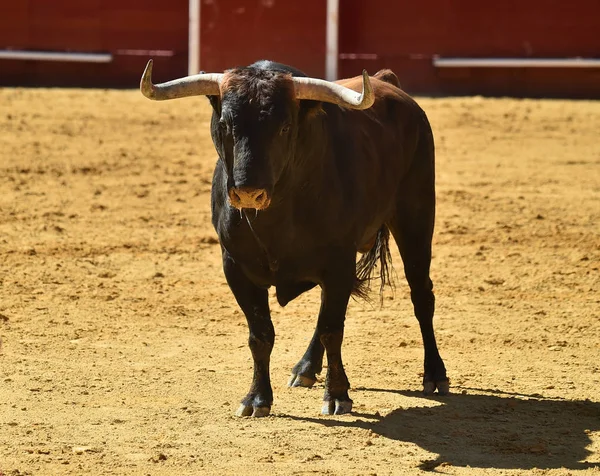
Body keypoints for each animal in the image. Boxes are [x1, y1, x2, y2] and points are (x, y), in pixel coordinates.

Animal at [141, 59, 448, 416]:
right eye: (226, 124)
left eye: (285, 127)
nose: (248, 192)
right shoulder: (236, 267)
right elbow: (261, 334)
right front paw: (256, 398)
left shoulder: (338, 262)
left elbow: (332, 330)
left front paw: (337, 395)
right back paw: (305, 369)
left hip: (416, 216)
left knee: (421, 295)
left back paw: (435, 375)